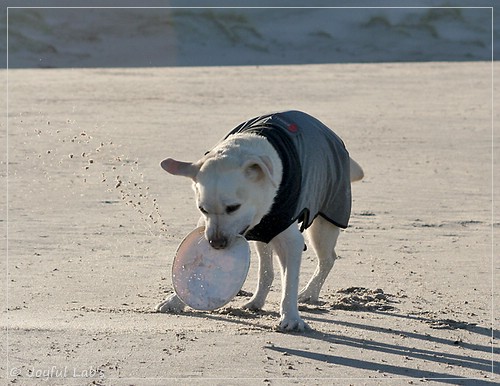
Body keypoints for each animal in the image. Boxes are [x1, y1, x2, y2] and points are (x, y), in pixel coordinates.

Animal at [156, 109, 364, 332]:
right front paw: (175, 300)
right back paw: (256, 302)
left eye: (233, 207)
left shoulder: (291, 240)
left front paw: (291, 318)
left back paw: (309, 293)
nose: (216, 244)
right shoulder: (209, 225)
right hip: (264, 233)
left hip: (324, 220)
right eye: (202, 209)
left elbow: (290, 281)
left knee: (327, 258)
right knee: (267, 271)